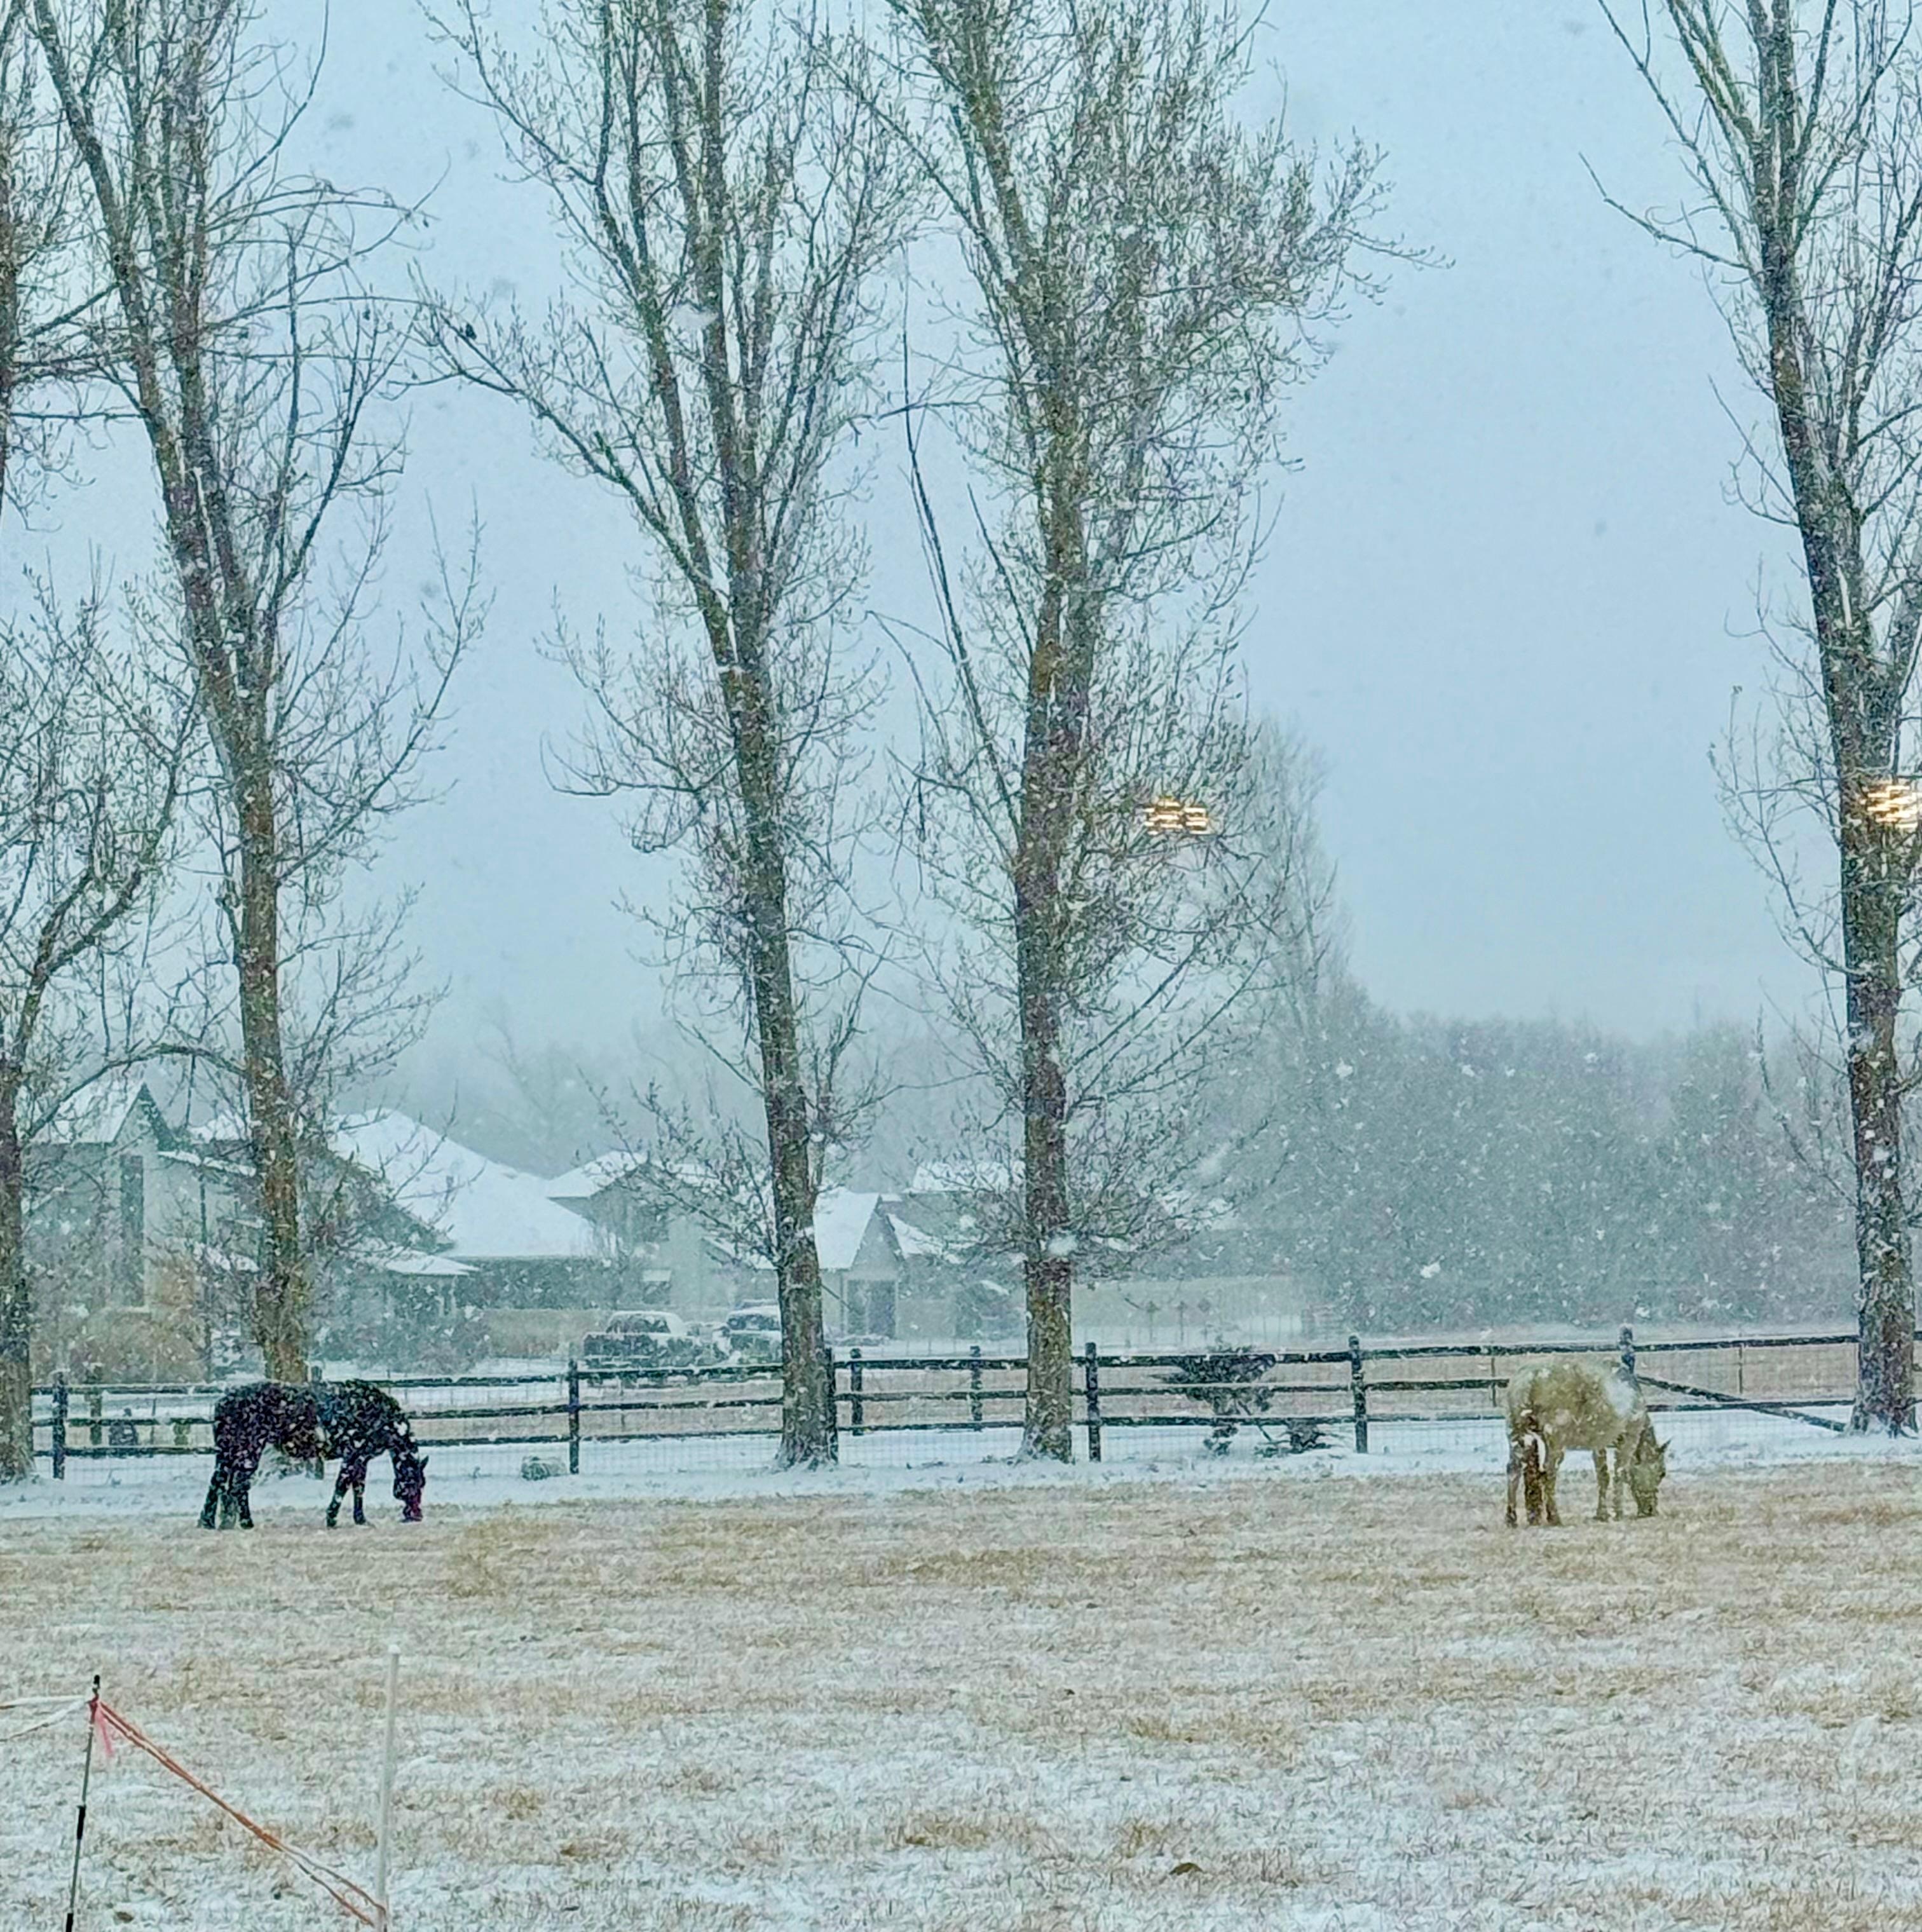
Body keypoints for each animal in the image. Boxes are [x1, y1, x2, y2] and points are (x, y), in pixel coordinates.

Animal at [199, 1380, 427, 1530]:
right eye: (415, 1482)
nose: (417, 1515)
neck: (379, 1417)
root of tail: (223, 1403)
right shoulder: (352, 1455)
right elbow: (342, 1487)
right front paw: (332, 1519)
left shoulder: (362, 1458)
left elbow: (358, 1489)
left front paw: (361, 1519)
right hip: (249, 1451)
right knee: (238, 1485)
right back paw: (246, 1522)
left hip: (227, 1454)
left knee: (218, 1483)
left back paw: (210, 1522)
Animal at [1504, 1358, 1667, 1527]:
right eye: (1662, 1473)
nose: (1651, 1510)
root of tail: (1529, 1379)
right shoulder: (1630, 1437)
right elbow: (1620, 1473)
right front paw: (1618, 1513)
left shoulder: (1599, 1444)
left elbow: (1603, 1477)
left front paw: (1602, 1514)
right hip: (1555, 1438)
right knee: (1549, 1471)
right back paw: (1554, 1517)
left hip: (1515, 1431)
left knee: (1513, 1470)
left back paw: (1511, 1518)